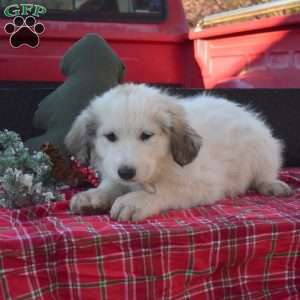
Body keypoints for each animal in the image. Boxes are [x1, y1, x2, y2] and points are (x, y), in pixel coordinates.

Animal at [65, 82, 290, 220]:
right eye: (110, 136)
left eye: (146, 135)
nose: (126, 172)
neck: (160, 165)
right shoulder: (116, 174)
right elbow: (111, 185)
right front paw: (93, 196)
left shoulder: (203, 184)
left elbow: (166, 189)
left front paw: (136, 200)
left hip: (263, 149)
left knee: (264, 174)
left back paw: (272, 184)